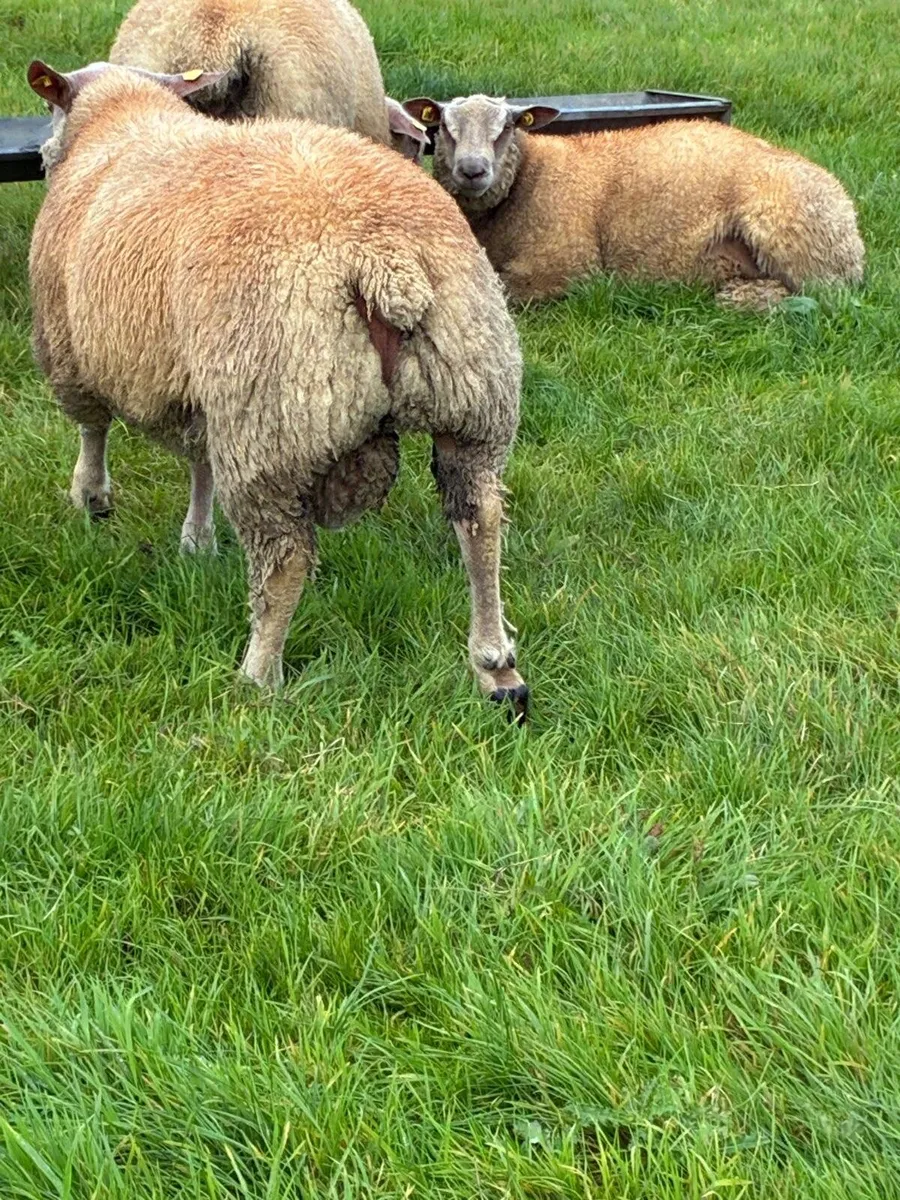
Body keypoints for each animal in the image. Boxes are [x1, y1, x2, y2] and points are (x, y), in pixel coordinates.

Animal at [27, 60, 528, 716]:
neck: (120, 117)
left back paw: (258, 675)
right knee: (480, 519)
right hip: (472, 395)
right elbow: (200, 462)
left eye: (52, 107)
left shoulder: (68, 348)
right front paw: (197, 539)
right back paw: (497, 667)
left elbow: (93, 428)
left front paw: (91, 499)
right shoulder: (203, 384)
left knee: (284, 558)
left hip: (274, 414)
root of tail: (385, 260)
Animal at [403, 95, 865, 308]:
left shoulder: (564, 266)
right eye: (444, 127)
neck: (528, 180)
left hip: (794, 235)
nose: (472, 170)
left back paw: (744, 300)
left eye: (507, 127)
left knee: (828, 297)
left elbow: (502, 289)